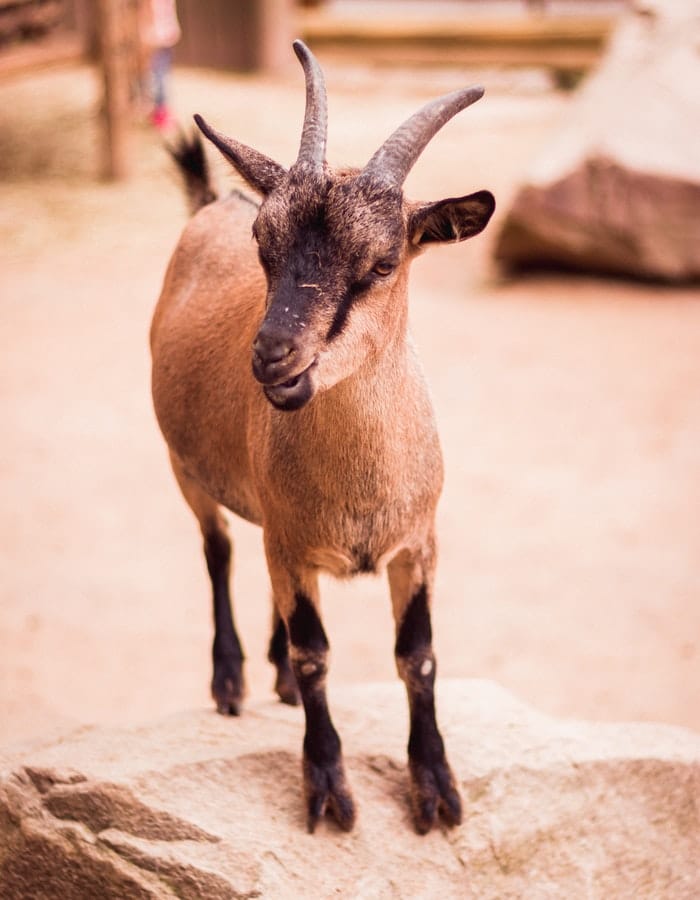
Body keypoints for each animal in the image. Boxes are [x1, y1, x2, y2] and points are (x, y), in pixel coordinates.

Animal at [151, 41, 494, 834]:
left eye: (383, 263)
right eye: (263, 246)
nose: (273, 357)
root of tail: (212, 202)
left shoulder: (418, 543)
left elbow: (417, 656)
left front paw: (436, 789)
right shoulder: (288, 540)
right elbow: (317, 655)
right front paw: (330, 789)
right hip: (186, 469)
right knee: (217, 551)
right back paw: (231, 679)